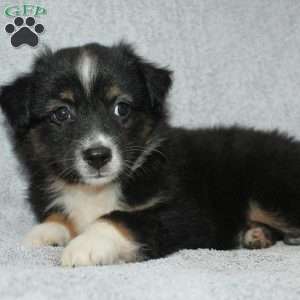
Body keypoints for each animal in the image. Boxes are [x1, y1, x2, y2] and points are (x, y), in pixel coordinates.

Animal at [0, 40, 300, 268]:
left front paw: (86, 245)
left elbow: (121, 218)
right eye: (61, 113)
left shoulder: (183, 213)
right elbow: (60, 215)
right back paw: (256, 234)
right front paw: (43, 233)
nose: (98, 156)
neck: (95, 191)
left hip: (268, 189)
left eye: (121, 108)